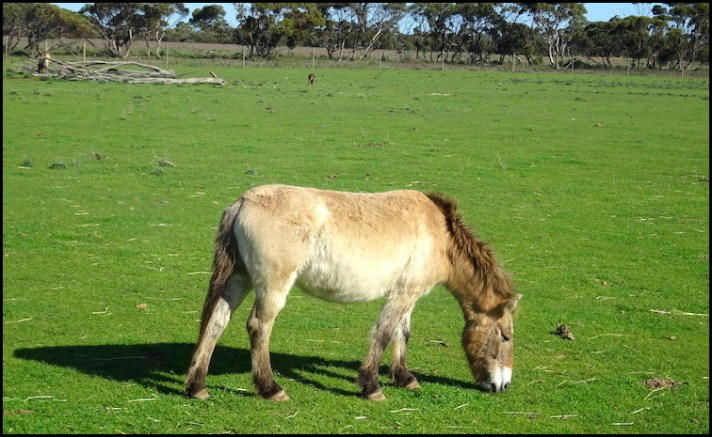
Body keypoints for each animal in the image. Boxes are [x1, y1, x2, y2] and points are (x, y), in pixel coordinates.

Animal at [185, 184, 521, 401]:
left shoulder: (406, 293)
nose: (502, 385)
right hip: (272, 286)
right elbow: (383, 334)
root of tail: (242, 202)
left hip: (238, 279)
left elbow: (402, 333)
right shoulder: (403, 295)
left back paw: (197, 386)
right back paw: (271, 389)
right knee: (258, 327)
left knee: (216, 323)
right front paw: (371, 387)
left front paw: (405, 378)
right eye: (505, 337)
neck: (440, 235)